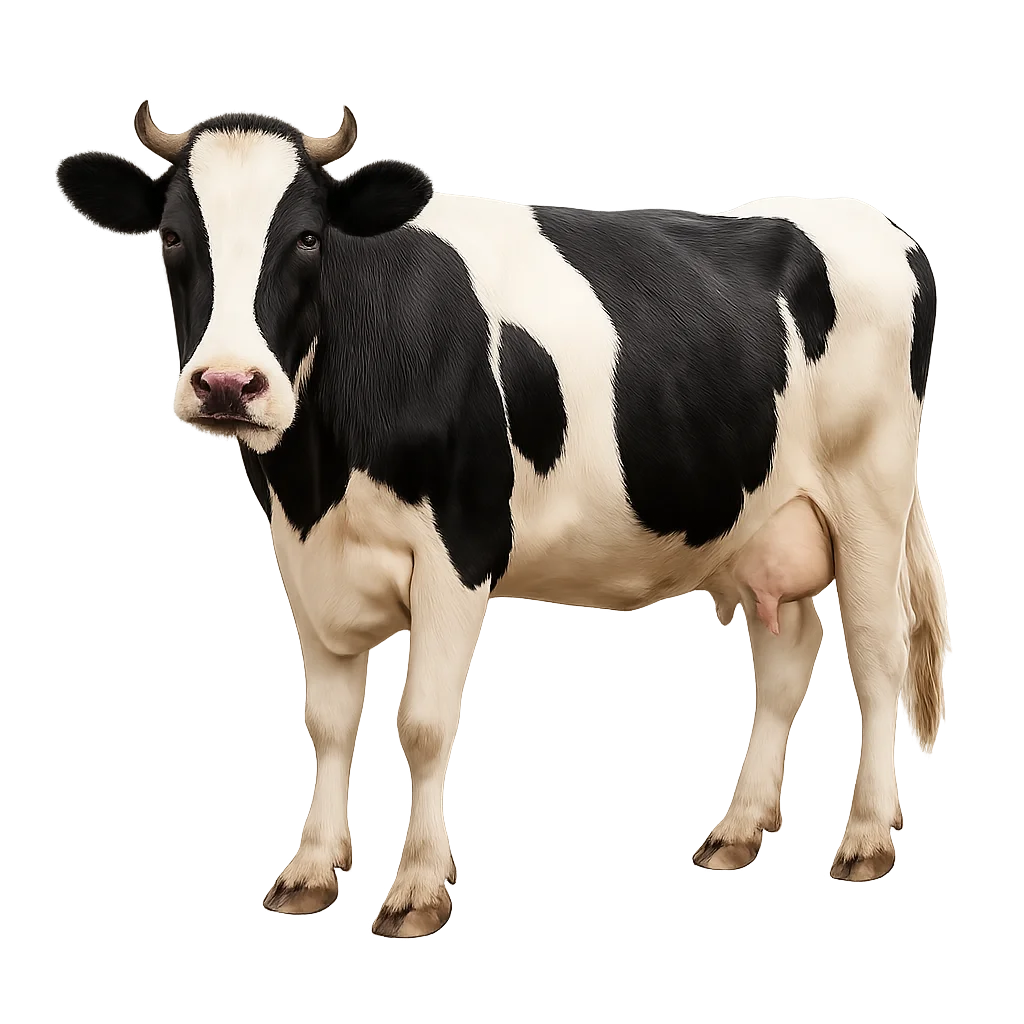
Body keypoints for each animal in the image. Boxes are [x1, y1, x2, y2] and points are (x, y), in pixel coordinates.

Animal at [57, 100, 947, 938]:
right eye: (174, 234)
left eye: (308, 237)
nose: (227, 384)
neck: (318, 472)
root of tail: (878, 221)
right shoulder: (305, 558)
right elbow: (329, 725)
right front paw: (309, 872)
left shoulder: (462, 545)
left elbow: (423, 725)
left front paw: (419, 887)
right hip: (761, 522)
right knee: (784, 660)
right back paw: (737, 830)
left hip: (871, 489)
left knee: (877, 654)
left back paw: (867, 838)